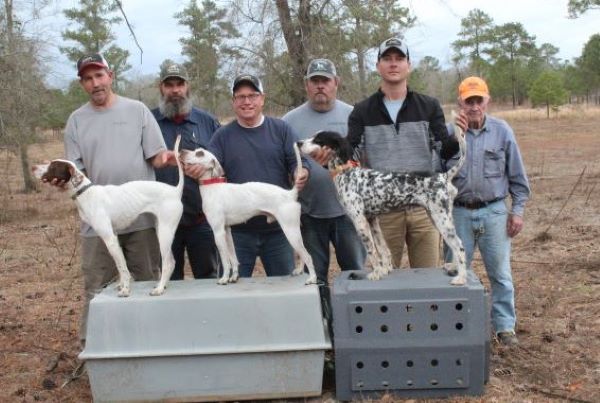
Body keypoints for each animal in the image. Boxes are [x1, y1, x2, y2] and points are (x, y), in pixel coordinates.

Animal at [32, 136, 183, 296]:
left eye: (53, 166)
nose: (33, 167)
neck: (86, 193)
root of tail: (175, 190)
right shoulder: (114, 237)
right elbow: (120, 266)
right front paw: (122, 285)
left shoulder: (109, 239)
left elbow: (123, 268)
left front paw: (125, 289)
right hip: (161, 229)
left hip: (165, 233)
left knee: (168, 263)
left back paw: (159, 288)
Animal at [180, 144, 318, 286]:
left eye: (200, 153)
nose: (181, 151)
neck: (213, 188)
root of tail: (290, 193)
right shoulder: (226, 231)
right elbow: (233, 258)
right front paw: (233, 277)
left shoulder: (218, 232)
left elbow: (226, 261)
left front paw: (224, 279)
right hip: (294, 232)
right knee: (302, 255)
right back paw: (299, 270)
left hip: (290, 231)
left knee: (308, 256)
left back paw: (312, 279)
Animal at [298, 123, 468, 288]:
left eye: (318, 140)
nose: (298, 143)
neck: (346, 173)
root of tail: (443, 176)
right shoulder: (372, 220)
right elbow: (382, 248)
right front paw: (384, 269)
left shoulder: (360, 222)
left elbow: (372, 252)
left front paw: (375, 273)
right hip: (438, 217)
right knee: (456, 244)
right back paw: (454, 268)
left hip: (441, 218)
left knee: (459, 245)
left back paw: (461, 278)